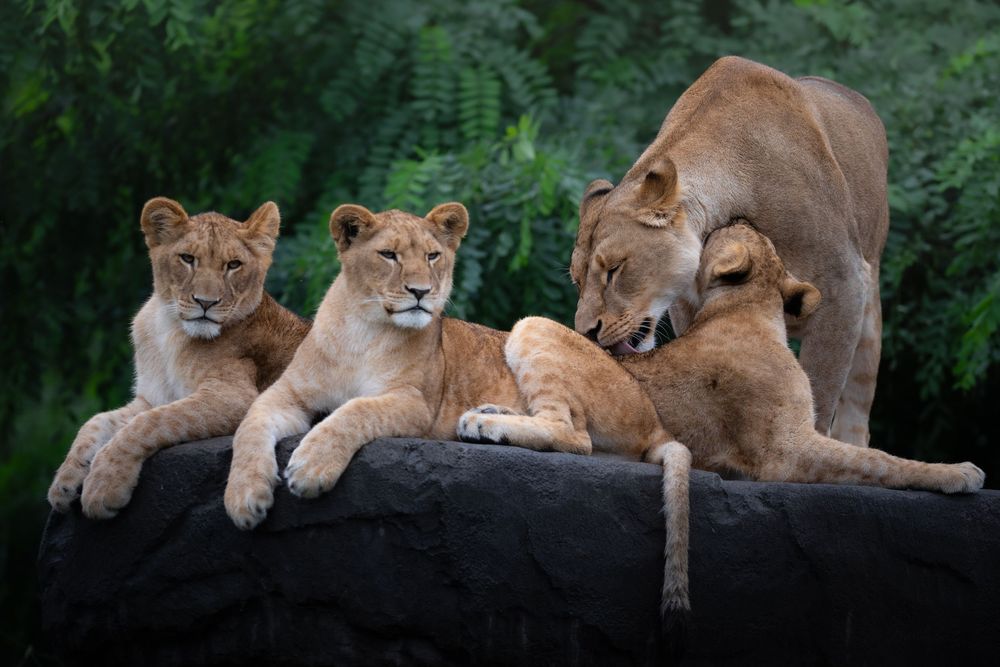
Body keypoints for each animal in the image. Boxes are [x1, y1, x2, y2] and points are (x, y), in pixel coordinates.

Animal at [47, 197, 310, 519]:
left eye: (233, 265)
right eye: (187, 259)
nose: (206, 303)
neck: (168, 327)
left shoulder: (235, 396)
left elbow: (149, 422)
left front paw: (103, 484)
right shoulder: (152, 397)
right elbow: (96, 422)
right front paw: (65, 482)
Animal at [572, 56, 890, 447]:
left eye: (615, 270)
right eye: (577, 281)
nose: (586, 333)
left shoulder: (844, 288)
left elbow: (822, 390)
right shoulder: (688, 305)